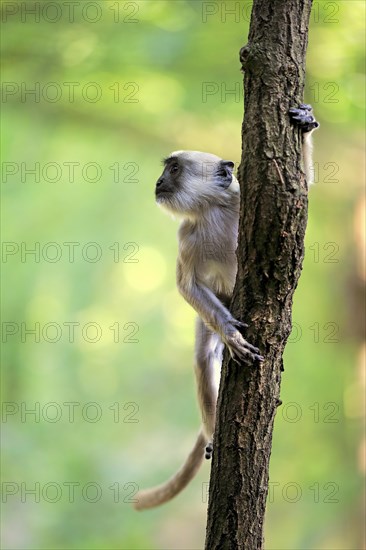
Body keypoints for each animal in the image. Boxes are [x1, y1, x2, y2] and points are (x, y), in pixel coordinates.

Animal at [134, 104, 318, 512]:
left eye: (173, 169)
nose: (158, 182)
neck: (214, 209)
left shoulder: (242, 200)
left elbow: (299, 192)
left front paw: (304, 122)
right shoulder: (187, 235)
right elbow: (187, 286)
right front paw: (232, 335)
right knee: (204, 358)